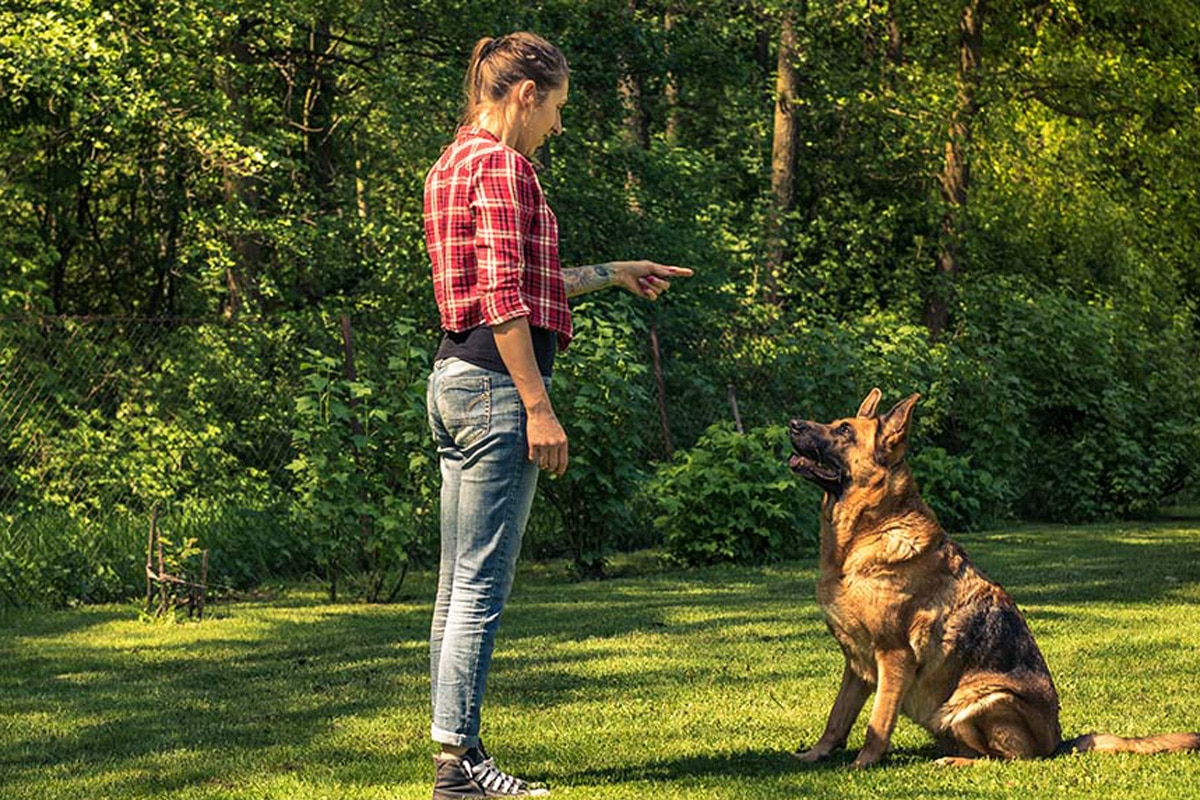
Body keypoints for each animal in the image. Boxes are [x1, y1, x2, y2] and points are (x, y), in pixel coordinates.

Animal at [787, 391, 1200, 767]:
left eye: (843, 430)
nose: (792, 423)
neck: (860, 538)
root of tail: (1056, 744)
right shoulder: (857, 666)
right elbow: (837, 718)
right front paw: (815, 755)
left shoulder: (894, 657)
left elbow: (879, 721)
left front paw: (862, 765)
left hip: (981, 701)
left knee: (1006, 759)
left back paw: (956, 762)